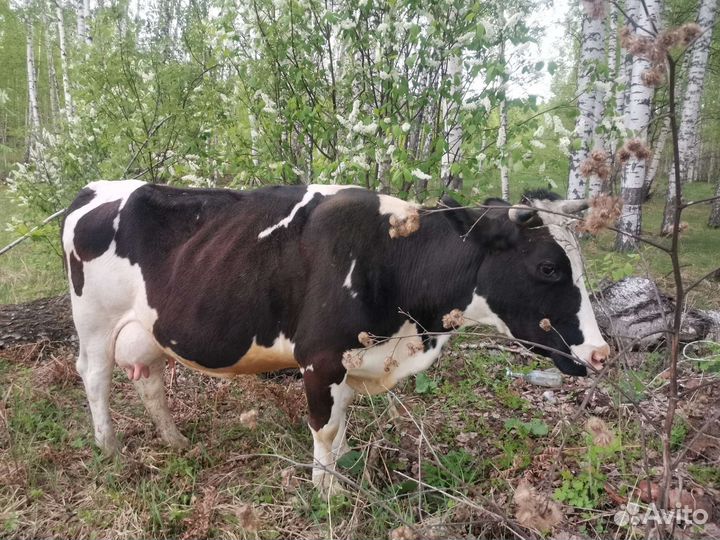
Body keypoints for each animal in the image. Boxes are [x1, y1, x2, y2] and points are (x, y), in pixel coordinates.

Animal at [62, 180, 609, 493]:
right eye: (548, 267)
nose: (601, 353)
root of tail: (95, 189)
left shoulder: (350, 361)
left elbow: (341, 423)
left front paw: (339, 474)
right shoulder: (320, 357)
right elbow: (324, 428)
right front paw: (327, 495)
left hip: (149, 330)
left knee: (149, 380)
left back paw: (175, 442)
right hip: (94, 323)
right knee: (95, 378)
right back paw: (110, 449)